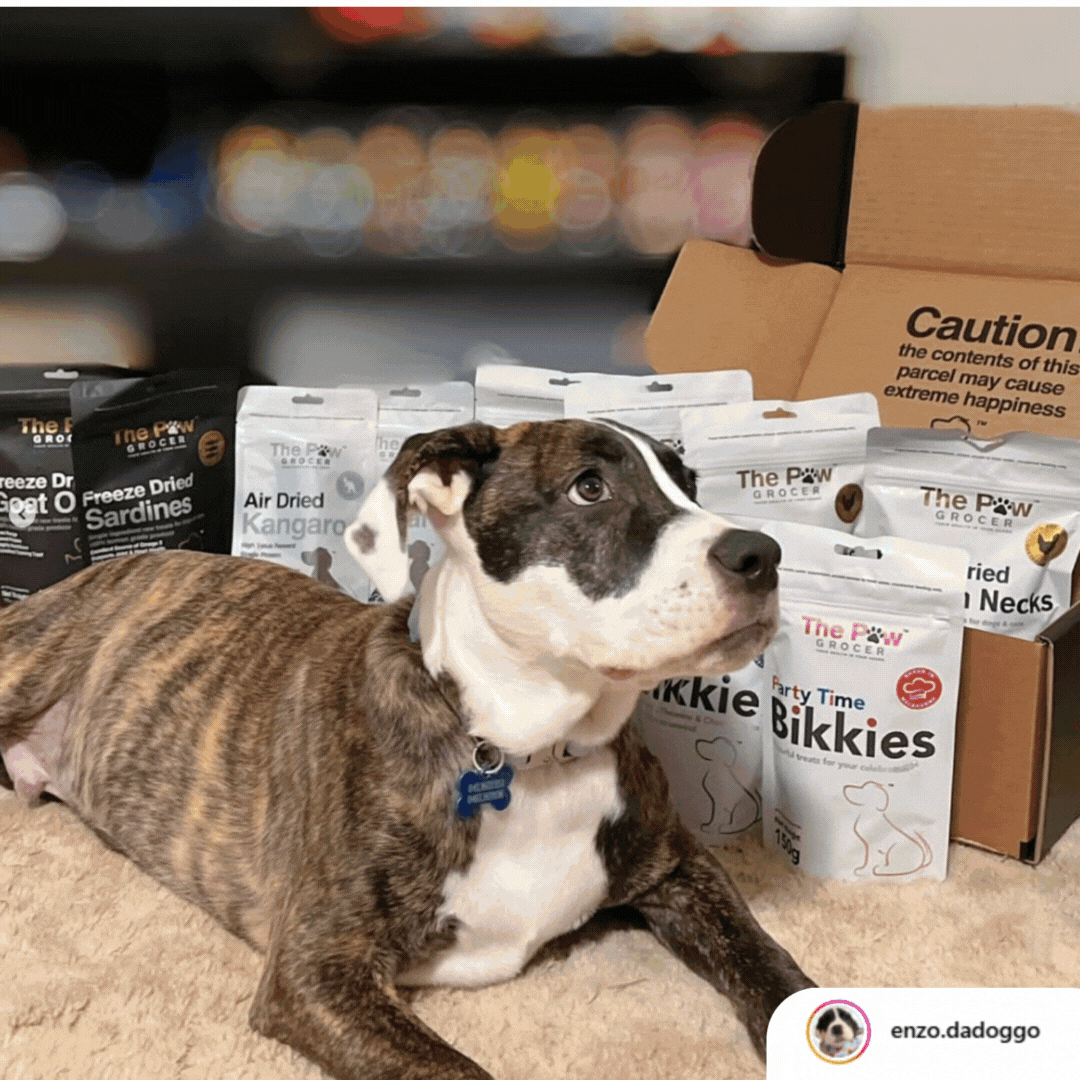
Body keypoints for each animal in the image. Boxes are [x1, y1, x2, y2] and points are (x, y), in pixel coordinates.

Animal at [0, 418, 812, 1080]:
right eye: (590, 487)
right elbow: (451, 1071)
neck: (530, 752)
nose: (763, 554)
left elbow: (764, 957)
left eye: (690, 485)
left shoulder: (680, 865)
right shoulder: (318, 966)